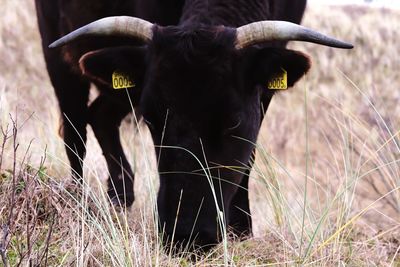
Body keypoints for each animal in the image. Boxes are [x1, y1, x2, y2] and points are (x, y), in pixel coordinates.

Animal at [36, 0, 352, 251]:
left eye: (234, 121)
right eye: (152, 119)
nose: (187, 236)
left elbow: (248, 157)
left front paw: (242, 230)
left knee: (100, 115)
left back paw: (121, 195)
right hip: (57, 55)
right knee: (75, 132)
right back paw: (78, 201)